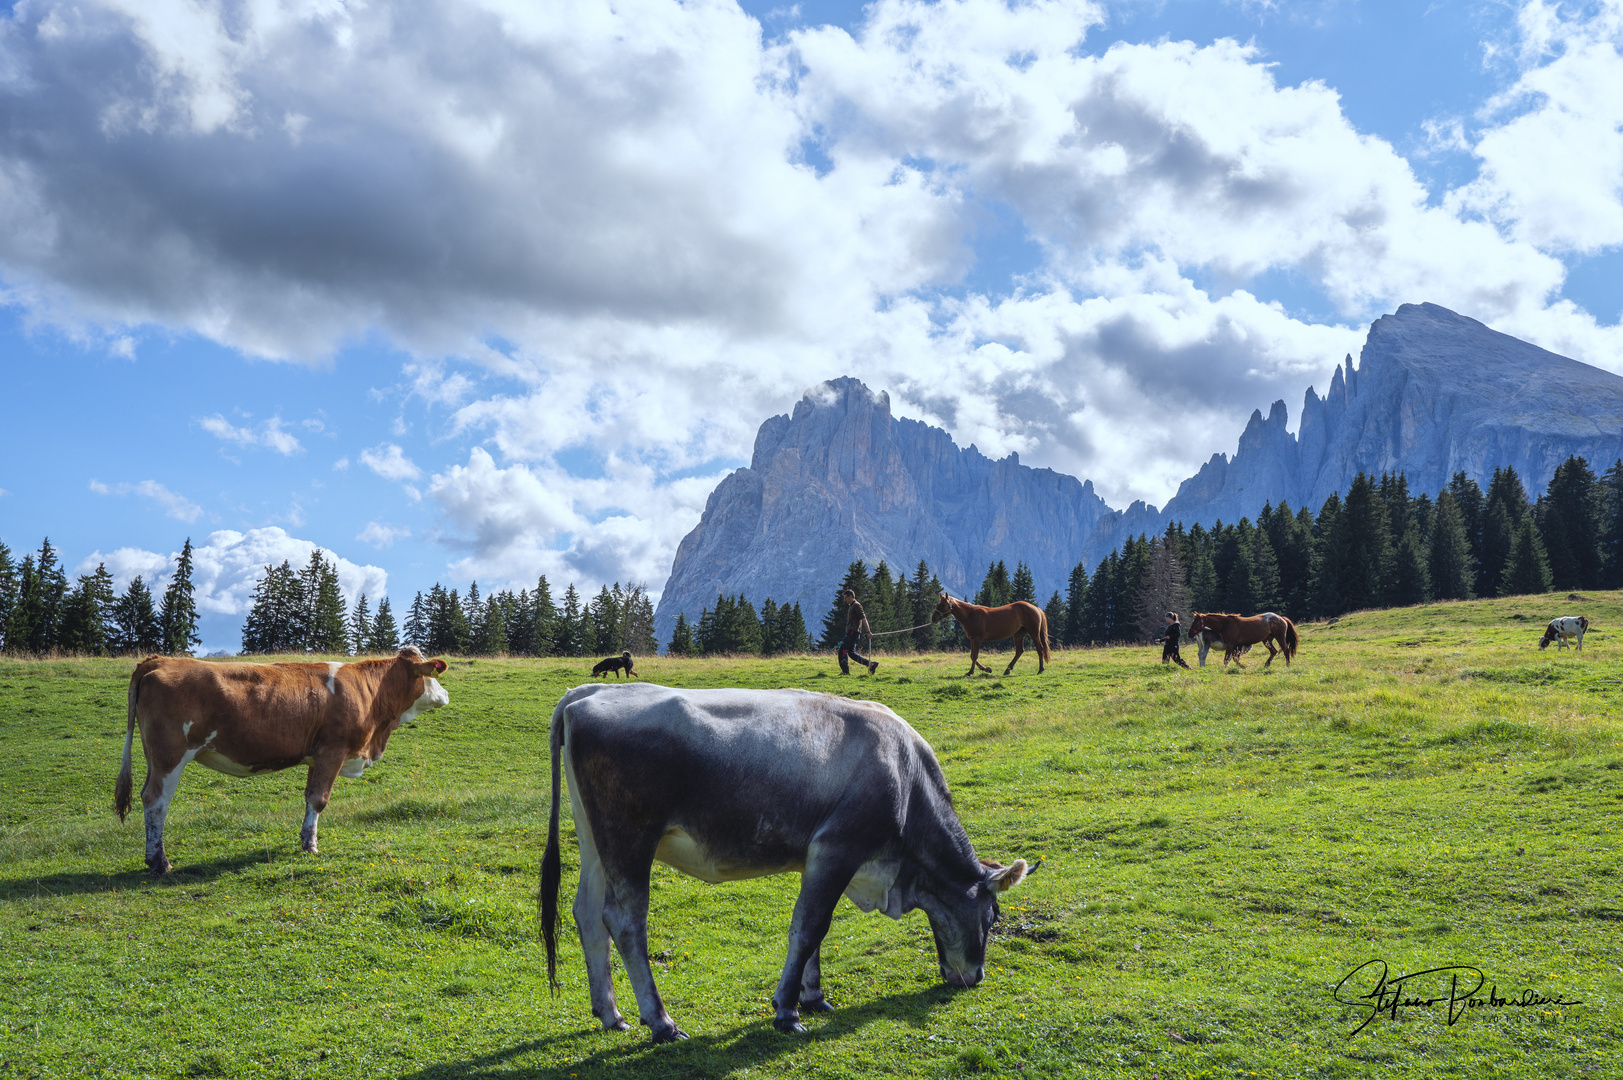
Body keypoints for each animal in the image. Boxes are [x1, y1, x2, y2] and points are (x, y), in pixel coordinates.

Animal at [113, 643, 447, 870]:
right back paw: (159, 861)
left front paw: (304, 839)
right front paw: (311, 847)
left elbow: (310, 797)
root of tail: (160, 660)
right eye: (432, 676)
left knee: (147, 796)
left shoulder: (316, 756)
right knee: (156, 801)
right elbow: (319, 800)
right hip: (170, 757)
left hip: (154, 757)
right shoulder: (333, 751)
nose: (445, 695)